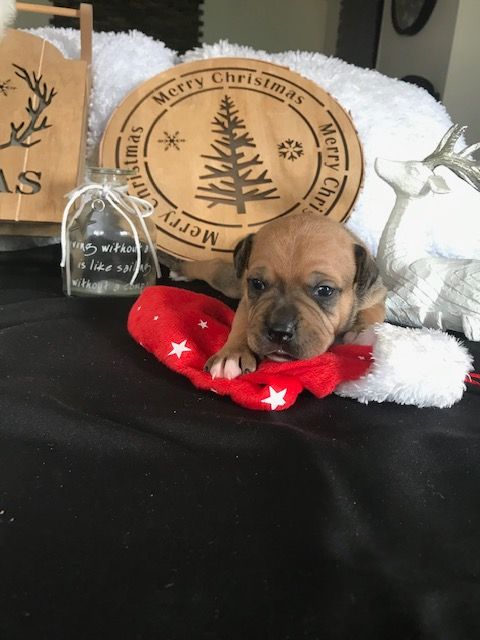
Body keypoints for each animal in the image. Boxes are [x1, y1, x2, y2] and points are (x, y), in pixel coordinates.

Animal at [170, 212, 386, 379]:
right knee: (213, 267)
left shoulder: (375, 294)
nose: (279, 332)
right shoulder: (248, 300)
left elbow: (373, 312)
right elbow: (242, 322)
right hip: (230, 283)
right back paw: (182, 268)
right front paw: (232, 353)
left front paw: (360, 331)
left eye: (324, 290)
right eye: (257, 284)